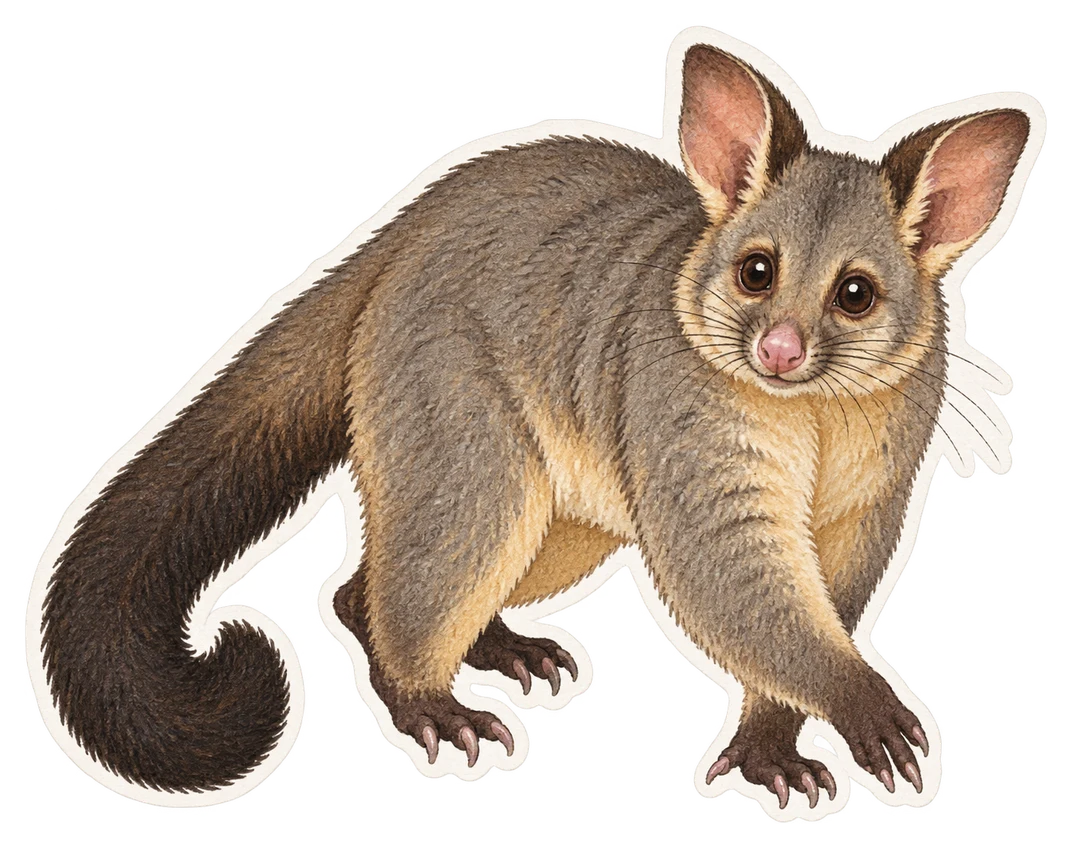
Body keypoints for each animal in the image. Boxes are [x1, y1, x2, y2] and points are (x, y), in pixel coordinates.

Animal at [27, 31, 1041, 816]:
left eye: (856, 294)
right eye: (757, 272)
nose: (779, 351)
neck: (813, 414)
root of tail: (396, 238)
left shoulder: (880, 475)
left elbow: (834, 581)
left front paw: (772, 745)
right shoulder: (683, 416)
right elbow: (727, 570)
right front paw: (867, 706)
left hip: (568, 510)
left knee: (388, 581)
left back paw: (486, 643)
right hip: (447, 395)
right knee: (461, 526)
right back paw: (427, 702)